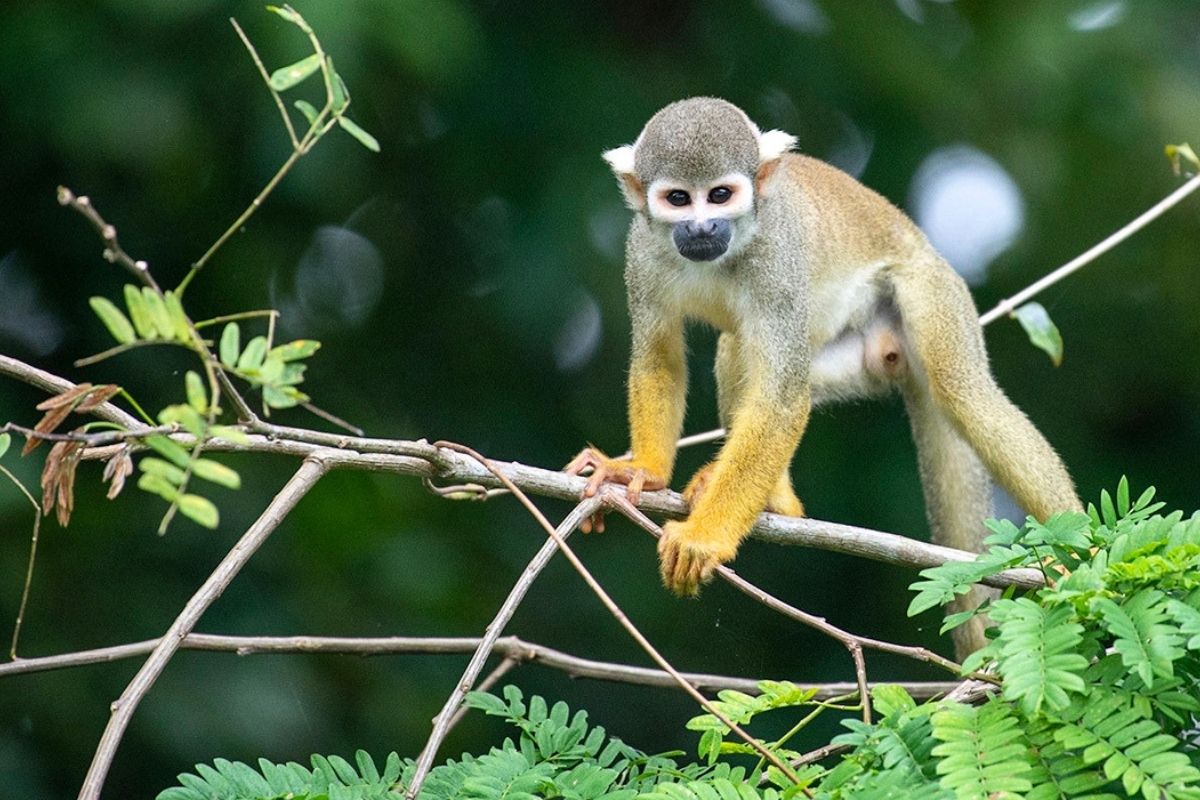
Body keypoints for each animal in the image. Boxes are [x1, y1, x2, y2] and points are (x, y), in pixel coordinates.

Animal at [566, 97, 1082, 655]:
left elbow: (782, 399)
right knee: (737, 349)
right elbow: (659, 359)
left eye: (720, 195)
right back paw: (773, 499)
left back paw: (1082, 551)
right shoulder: (640, 253)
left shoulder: (778, 258)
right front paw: (643, 472)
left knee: (961, 392)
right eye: (679, 199)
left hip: (929, 287)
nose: (702, 229)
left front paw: (704, 537)